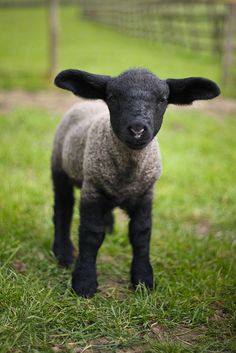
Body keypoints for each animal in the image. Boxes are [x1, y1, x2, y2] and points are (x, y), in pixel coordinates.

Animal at [51, 67, 219, 296]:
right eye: (113, 97)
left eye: (162, 99)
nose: (137, 130)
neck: (128, 173)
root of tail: (85, 103)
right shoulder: (92, 190)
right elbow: (90, 235)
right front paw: (84, 282)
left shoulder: (146, 194)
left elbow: (141, 234)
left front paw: (143, 280)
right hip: (60, 168)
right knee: (63, 209)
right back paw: (63, 253)